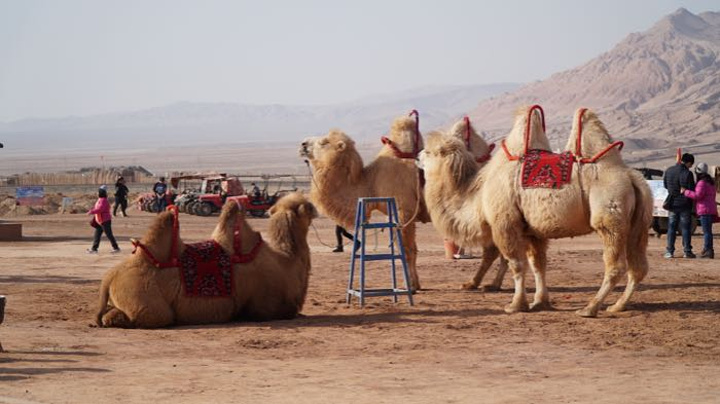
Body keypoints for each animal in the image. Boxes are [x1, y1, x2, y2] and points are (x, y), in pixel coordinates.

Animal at [96, 193, 318, 328]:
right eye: (307, 206)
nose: (316, 208)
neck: (285, 261)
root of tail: (109, 277)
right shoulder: (265, 306)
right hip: (145, 299)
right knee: (155, 316)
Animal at [298, 113, 428, 290]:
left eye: (324, 142)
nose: (303, 143)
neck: (371, 182)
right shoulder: (394, 213)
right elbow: (406, 248)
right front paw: (415, 284)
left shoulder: (404, 210)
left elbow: (407, 250)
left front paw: (410, 286)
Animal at [478, 105, 652, 318]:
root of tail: (631, 176)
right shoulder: (533, 231)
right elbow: (538, 264)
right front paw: (540, 302)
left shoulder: (505, 222)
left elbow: (516, 263)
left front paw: (515, 305)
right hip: (638, 223)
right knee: (638, 266)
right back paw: (617, 306)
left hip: (610, 216)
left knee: (616, 265)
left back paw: (589, 308)